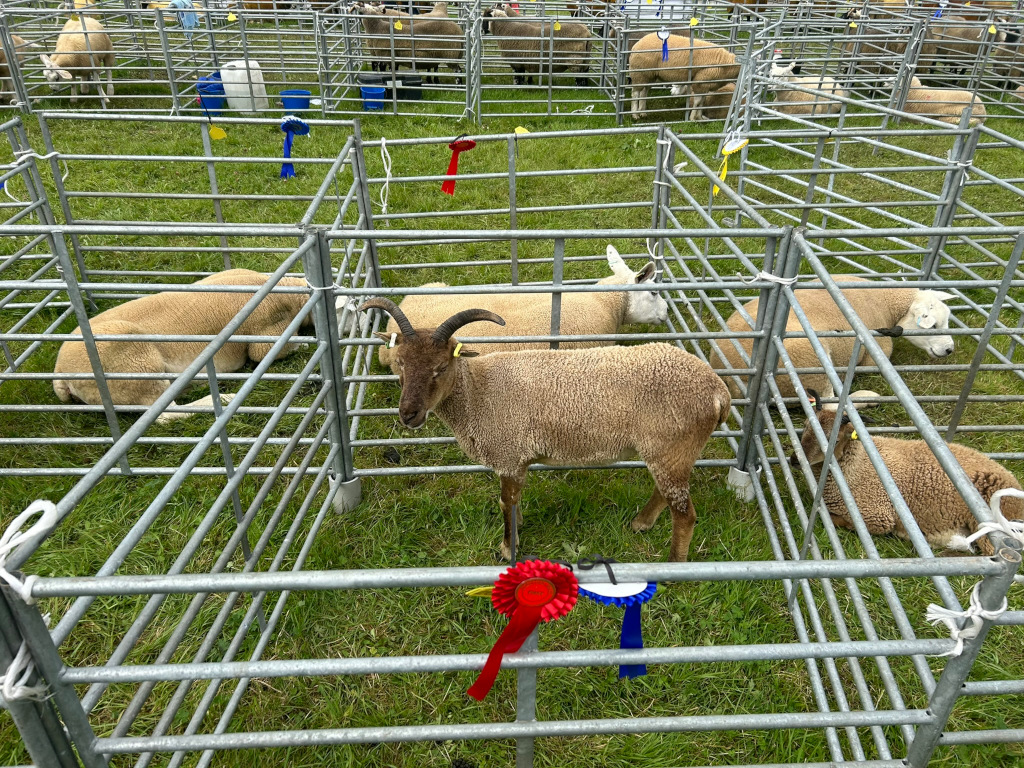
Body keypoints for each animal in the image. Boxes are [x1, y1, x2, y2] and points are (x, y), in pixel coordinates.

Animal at [54, 269, 311, 409]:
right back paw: (224, 399)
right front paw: (303, 345)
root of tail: (59, 373)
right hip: (134, 366)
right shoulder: (265, 333)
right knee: (167, 414)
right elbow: (265, 353)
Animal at [360, 298, 731, 561]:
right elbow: (514, 502)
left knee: (685, 515)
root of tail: (717, 391)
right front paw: (519, 527)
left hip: (672, 446)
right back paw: (641, 524)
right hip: (669, 451)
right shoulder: (516, 460)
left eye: (440, 367)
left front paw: (507, 548)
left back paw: (673, 566)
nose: (409, 414)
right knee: (667, 495)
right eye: (399, 364)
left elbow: (505, 503)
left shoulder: (508, 454)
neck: (478, 391)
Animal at [713, 277, 956, 400]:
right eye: (933, 325)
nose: (949, 349)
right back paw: (865, 397)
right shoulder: (877, 351)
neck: (884, 301)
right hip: (812, 363)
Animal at [792, 392, 1023, 555]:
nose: (794, 460)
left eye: (836, 439)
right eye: (805, 425)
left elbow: (832, 519)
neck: (856, 463)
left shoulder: (877, 517)